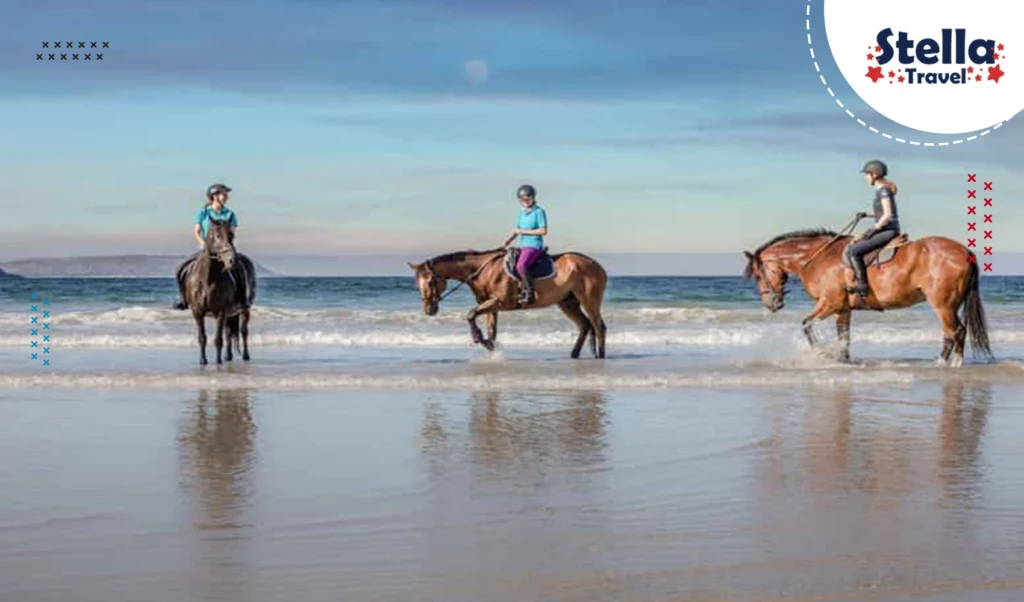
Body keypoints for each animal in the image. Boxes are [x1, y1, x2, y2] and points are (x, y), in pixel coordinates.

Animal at [178, 220, 253, 364]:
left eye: (232, 235)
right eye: (217, 235)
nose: (232, 260)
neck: (207, 279)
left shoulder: (220, 312)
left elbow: (218, 340)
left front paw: (218, 362)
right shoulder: (197, 312)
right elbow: (202, 337)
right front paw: (203, 360)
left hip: (243, 310)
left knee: (244, 331)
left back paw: (246, 356)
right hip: (230, 313)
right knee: (229, 332)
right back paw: (228, 356)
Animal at [405, 244, 606, 358]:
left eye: (430, 282)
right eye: (417, 283)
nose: (428, 309)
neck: (482, 270)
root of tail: (597, 265)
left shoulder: (499, 302)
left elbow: (470, 314)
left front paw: (478, 338)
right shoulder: (491, 307)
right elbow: (491, 330)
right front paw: (489, 345)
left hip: (589, 301)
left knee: (598, 326)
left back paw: (600, 356)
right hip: (567, 303)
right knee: (585, 325)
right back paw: (575, 354)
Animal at [745, 227, 991, 364]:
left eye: (757, 275)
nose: (771, 304)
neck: (817, 258)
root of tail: (965, 252)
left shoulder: (830, 303)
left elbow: (806, 324)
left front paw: (822, 353)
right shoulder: (842, 309)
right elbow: (843, 336)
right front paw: (842, 360)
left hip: (942, 304)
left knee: (954, 331)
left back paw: (946, 363)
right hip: (950, 304)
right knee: (956, 331)